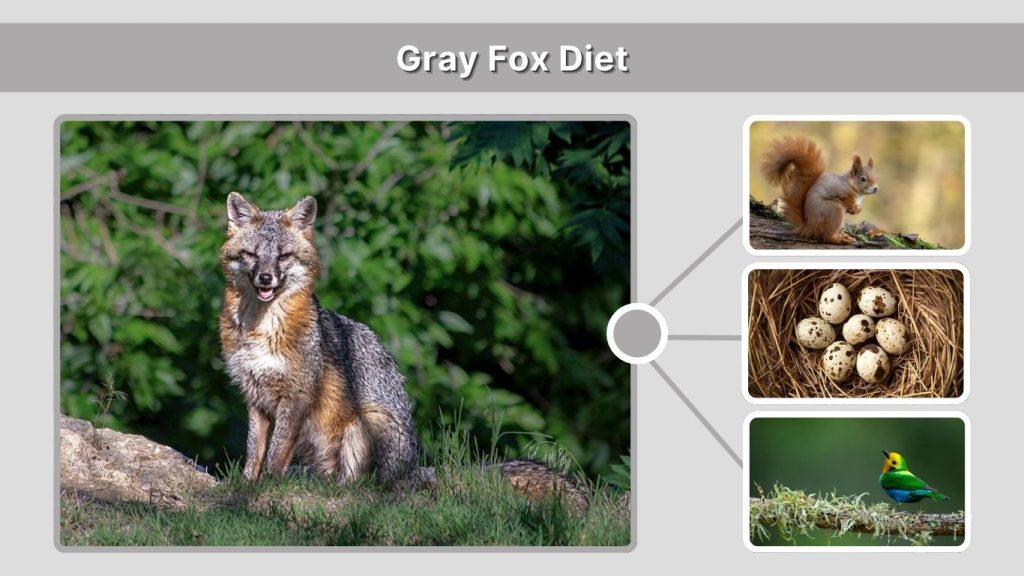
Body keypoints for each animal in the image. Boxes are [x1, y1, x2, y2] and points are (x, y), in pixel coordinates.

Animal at [218, 192, 585, 506]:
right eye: (252, 255)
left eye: (283, 256)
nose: (266, 278)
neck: (262, 329)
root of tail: (412, 469)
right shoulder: (255, 397)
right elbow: (254, 450)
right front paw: (245, 485)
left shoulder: (296, 396)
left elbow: (276, 451)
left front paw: (266, 485)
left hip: (366, 423)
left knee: (363, 487)